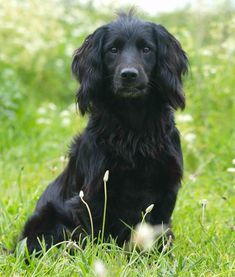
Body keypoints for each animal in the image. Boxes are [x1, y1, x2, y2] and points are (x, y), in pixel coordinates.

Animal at [21, 11, 188, 253]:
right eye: (113, 49)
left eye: (147, 49)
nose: (129, 75)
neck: (134, 127)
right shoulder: (94, 193)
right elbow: (95, 234)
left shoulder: (166, 188)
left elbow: (158, 232)